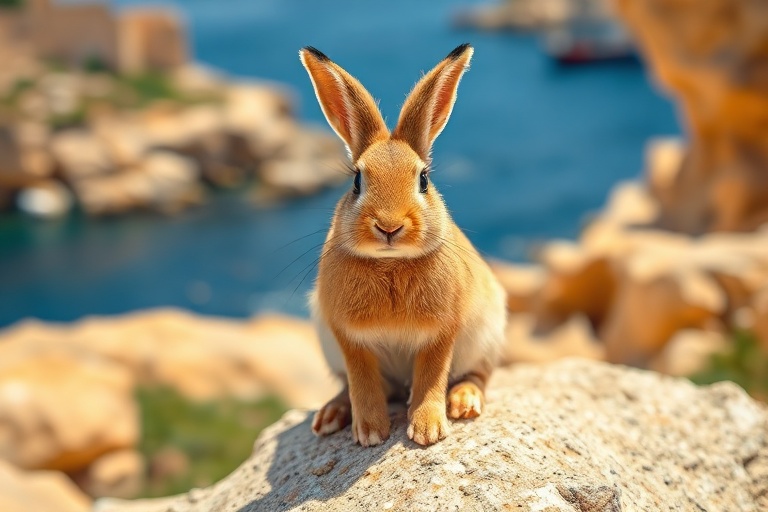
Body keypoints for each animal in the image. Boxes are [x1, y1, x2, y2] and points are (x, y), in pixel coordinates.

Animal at [299, 43, 507, 447]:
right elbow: (362, 381)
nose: (389, 226)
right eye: (357, 181)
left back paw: (464, 402)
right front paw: (369, 432)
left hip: (486, 336)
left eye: (423, 179)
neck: (391, 262)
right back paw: (331, 415)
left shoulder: (441, 333)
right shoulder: (348, 338)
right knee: (352, 387)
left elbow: (431, 375)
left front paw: (428, 430)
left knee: (479, 375)